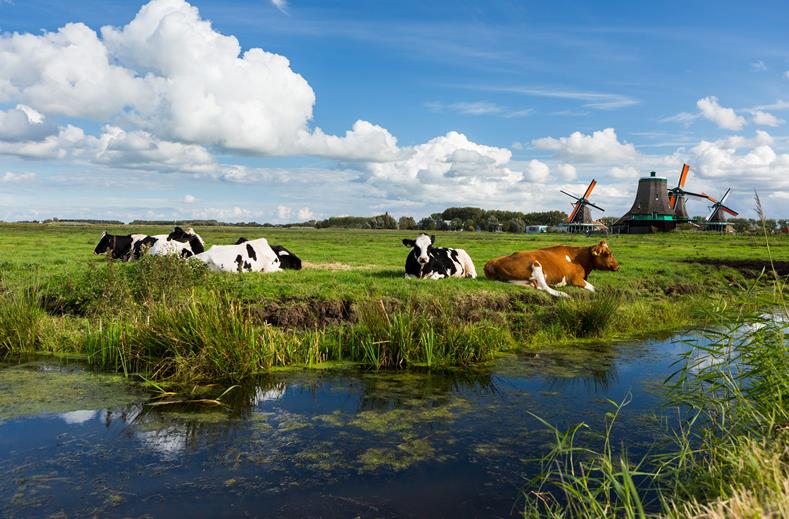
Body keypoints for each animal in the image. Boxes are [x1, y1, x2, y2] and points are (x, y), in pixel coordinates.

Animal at [484, 240, 620, 296]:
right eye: (607, 254)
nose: (618, 266)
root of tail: (492, 262)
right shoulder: (575, 279)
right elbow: (593, 288)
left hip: (519, 280)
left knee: (537, 286)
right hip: (536, 265)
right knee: (544, 287)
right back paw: (563, 294)